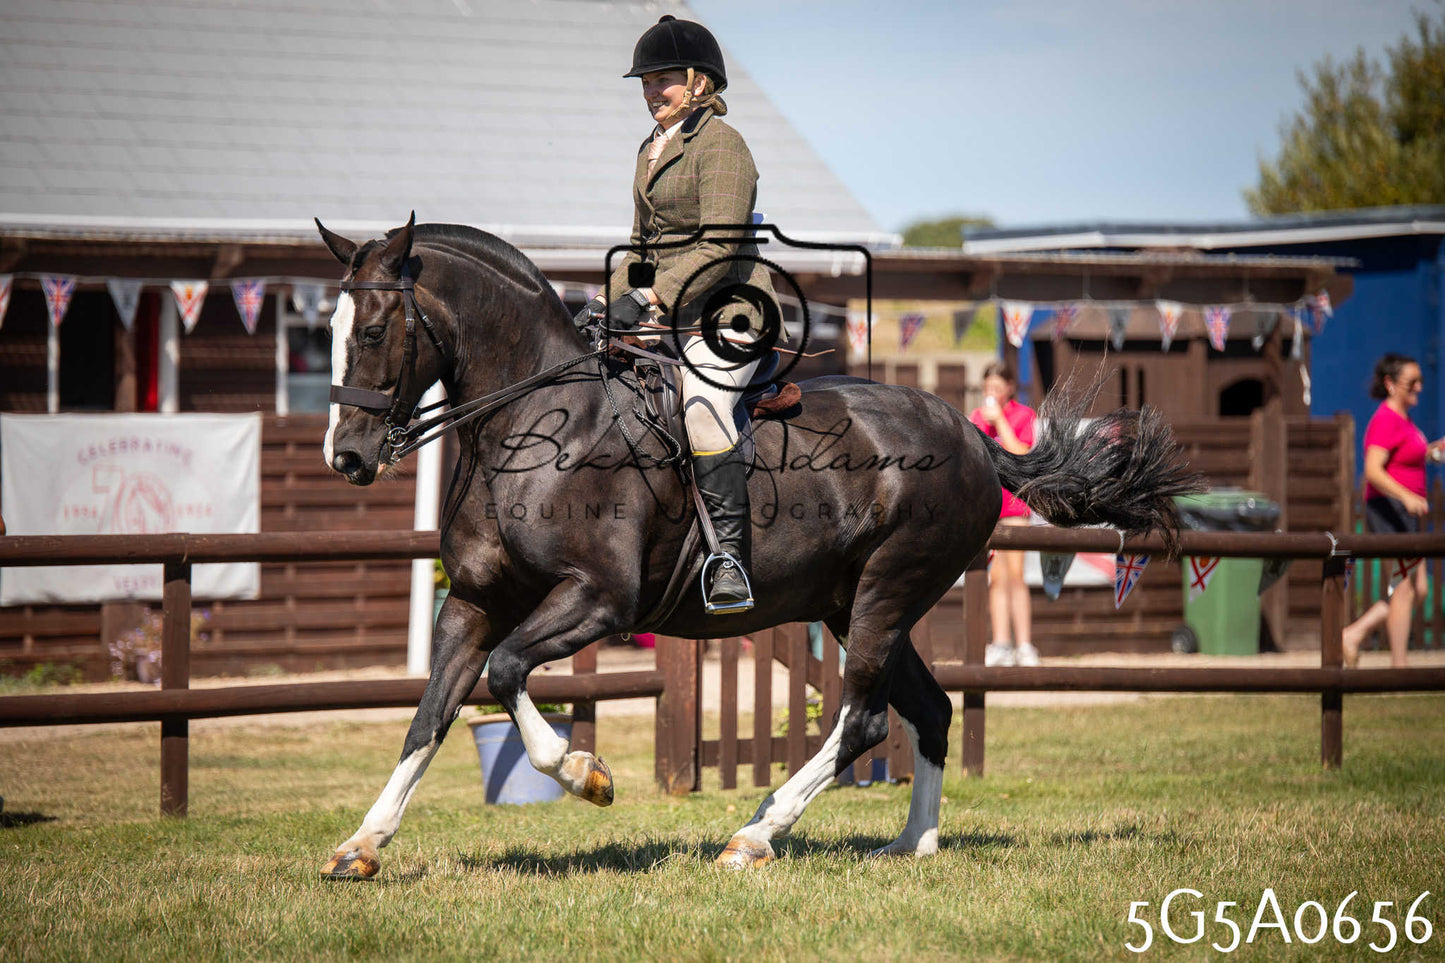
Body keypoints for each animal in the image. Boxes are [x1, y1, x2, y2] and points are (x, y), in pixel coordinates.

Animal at [314, 215, 1198, 877]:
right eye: (326, 329)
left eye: (374, 327)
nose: (347, 458)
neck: (535, 421)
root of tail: (975, 440)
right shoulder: (471, 601)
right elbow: (430, 712)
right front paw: (361, 844)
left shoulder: (597, 600)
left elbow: (503, 674)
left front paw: (586, 774)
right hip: (852, 603)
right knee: (928, 708)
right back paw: (910, 842)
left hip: (887, 591)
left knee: (865, 719)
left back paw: (755, 833)